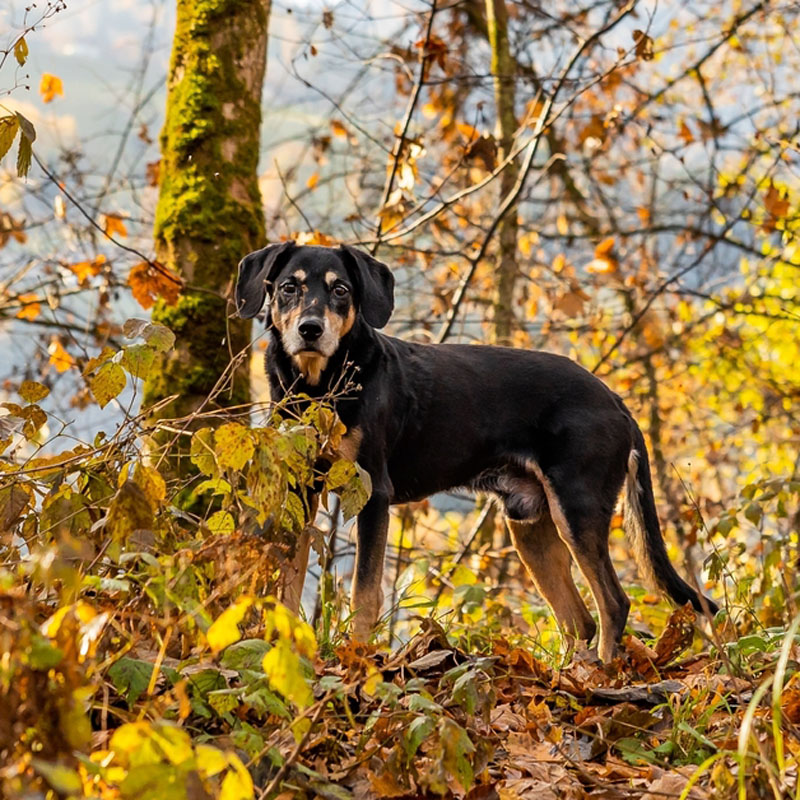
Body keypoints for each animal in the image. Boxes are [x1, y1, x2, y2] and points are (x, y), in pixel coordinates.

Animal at [234, 244, 716, 664]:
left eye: (341, 290)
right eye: (288, 288)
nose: (310, 329)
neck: (319, 388)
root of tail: (616, 401)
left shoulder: (373, 494)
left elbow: (365, 594)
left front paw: (358, 660)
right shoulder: (300, 490)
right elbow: (288, 586)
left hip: (577, 510)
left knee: (613, 604)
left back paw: (606, 675)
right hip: (530, 525)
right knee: (578, 621)